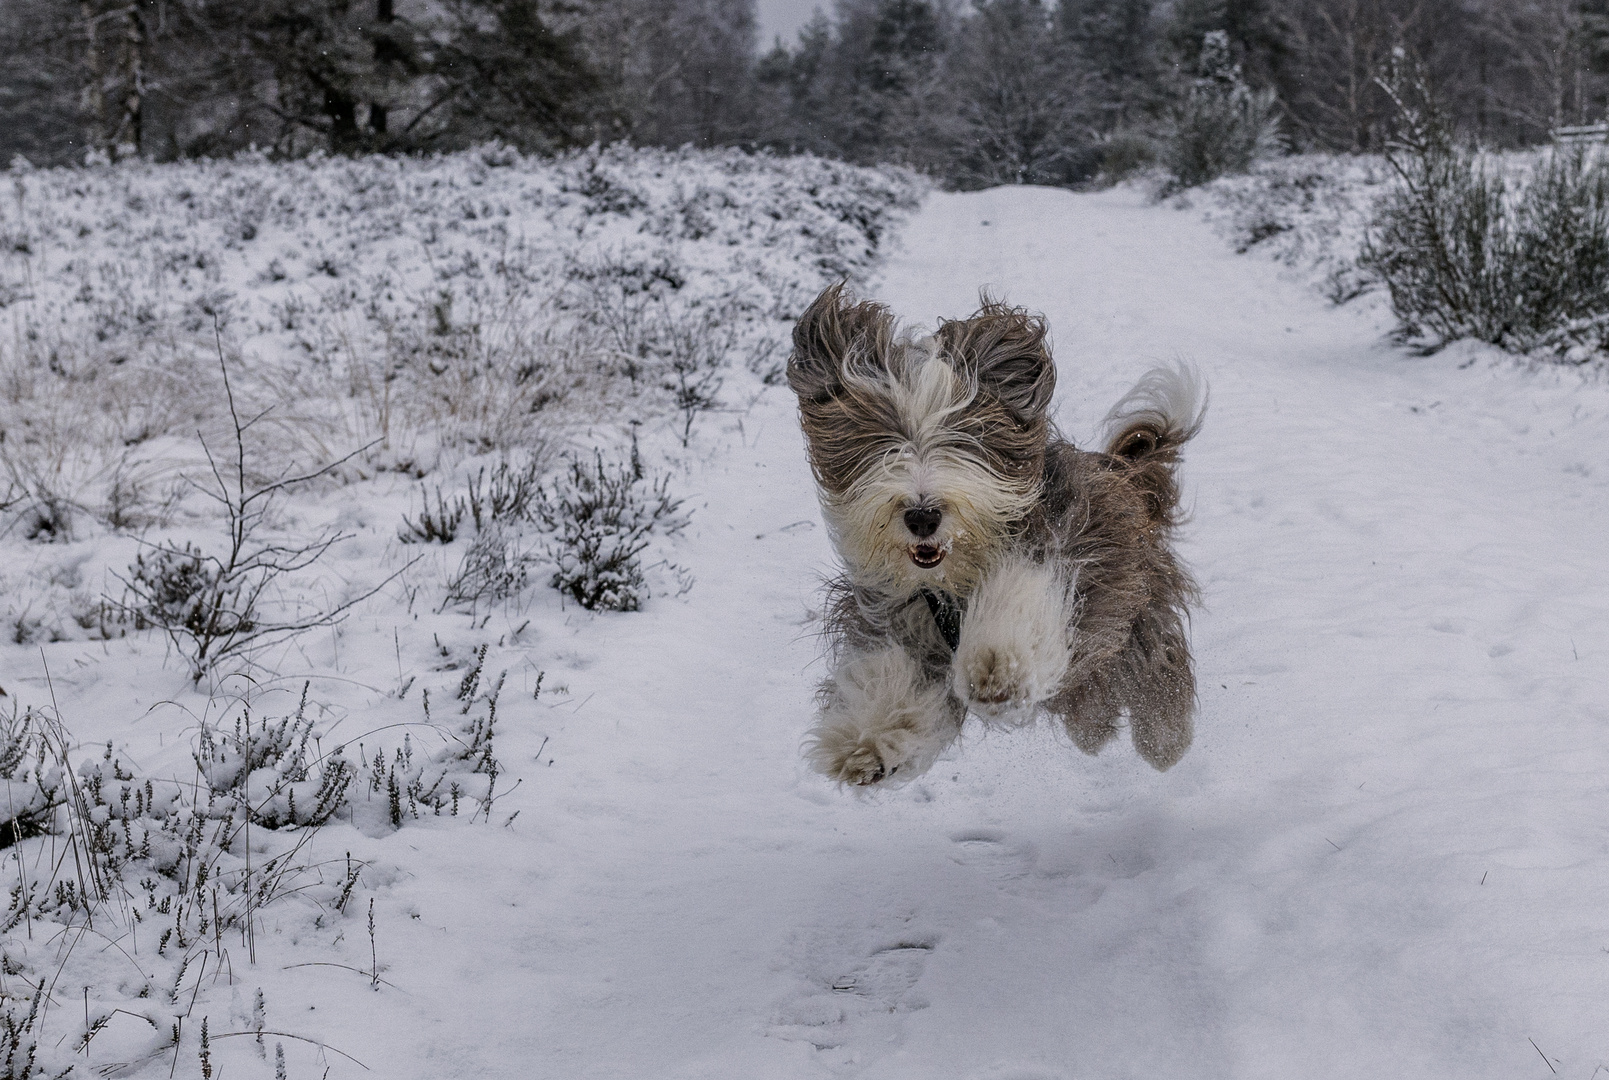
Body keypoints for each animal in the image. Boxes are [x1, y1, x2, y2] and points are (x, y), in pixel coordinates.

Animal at [785, 284, 1203, 785]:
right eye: (884, 439)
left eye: (963, 438)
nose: (922, 516)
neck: (952, 579)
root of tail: (1127, 471)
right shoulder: (896, 614)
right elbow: (887, 673)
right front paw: (867, 742)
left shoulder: (1056, 554)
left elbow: (1017, 599)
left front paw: (997, 670)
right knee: (1092, 707)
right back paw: (1097, 733)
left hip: (1136, 614)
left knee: (1153, 671)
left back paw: (1165, 743)